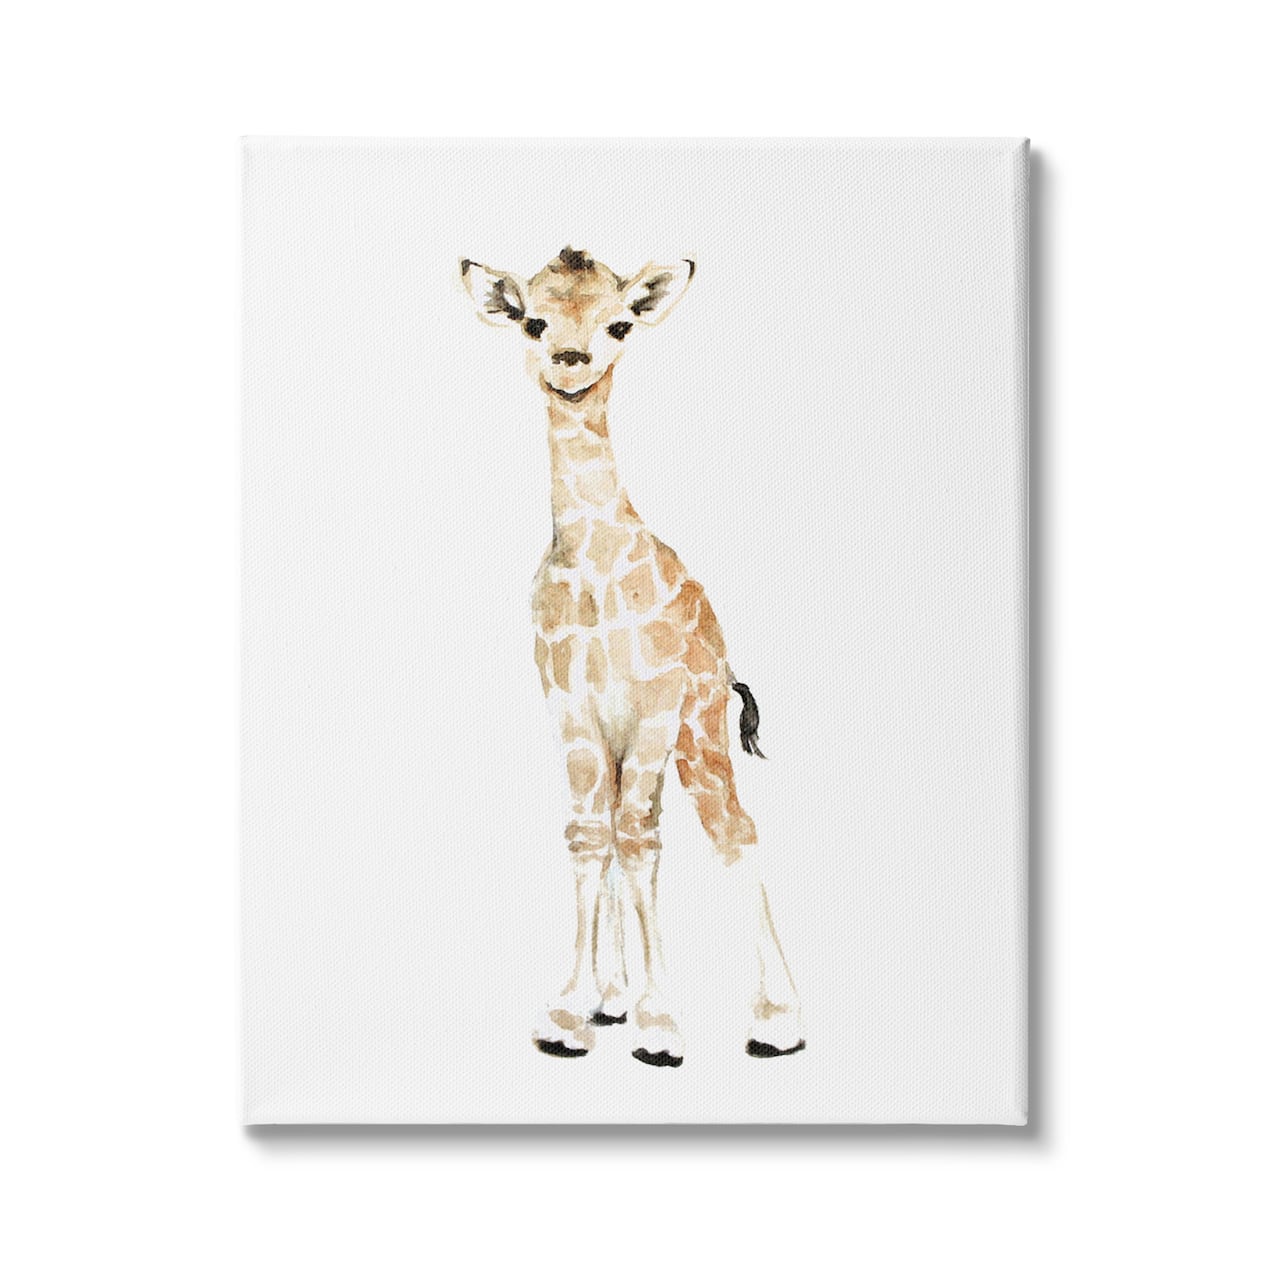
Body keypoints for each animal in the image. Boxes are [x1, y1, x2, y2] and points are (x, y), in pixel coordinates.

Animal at [460, 246, 803, 1067]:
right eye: (532, 319)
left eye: (619, 323)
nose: (570, 360)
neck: (592, 564)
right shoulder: (570, 709)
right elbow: (592, 835)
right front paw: (568, 1015)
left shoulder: (652, 705)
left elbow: (641, 839)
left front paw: (660, 1025)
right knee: (627, 831)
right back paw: (611, 1000)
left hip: (700, 730)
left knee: (733, 831)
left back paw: (778, 1020)